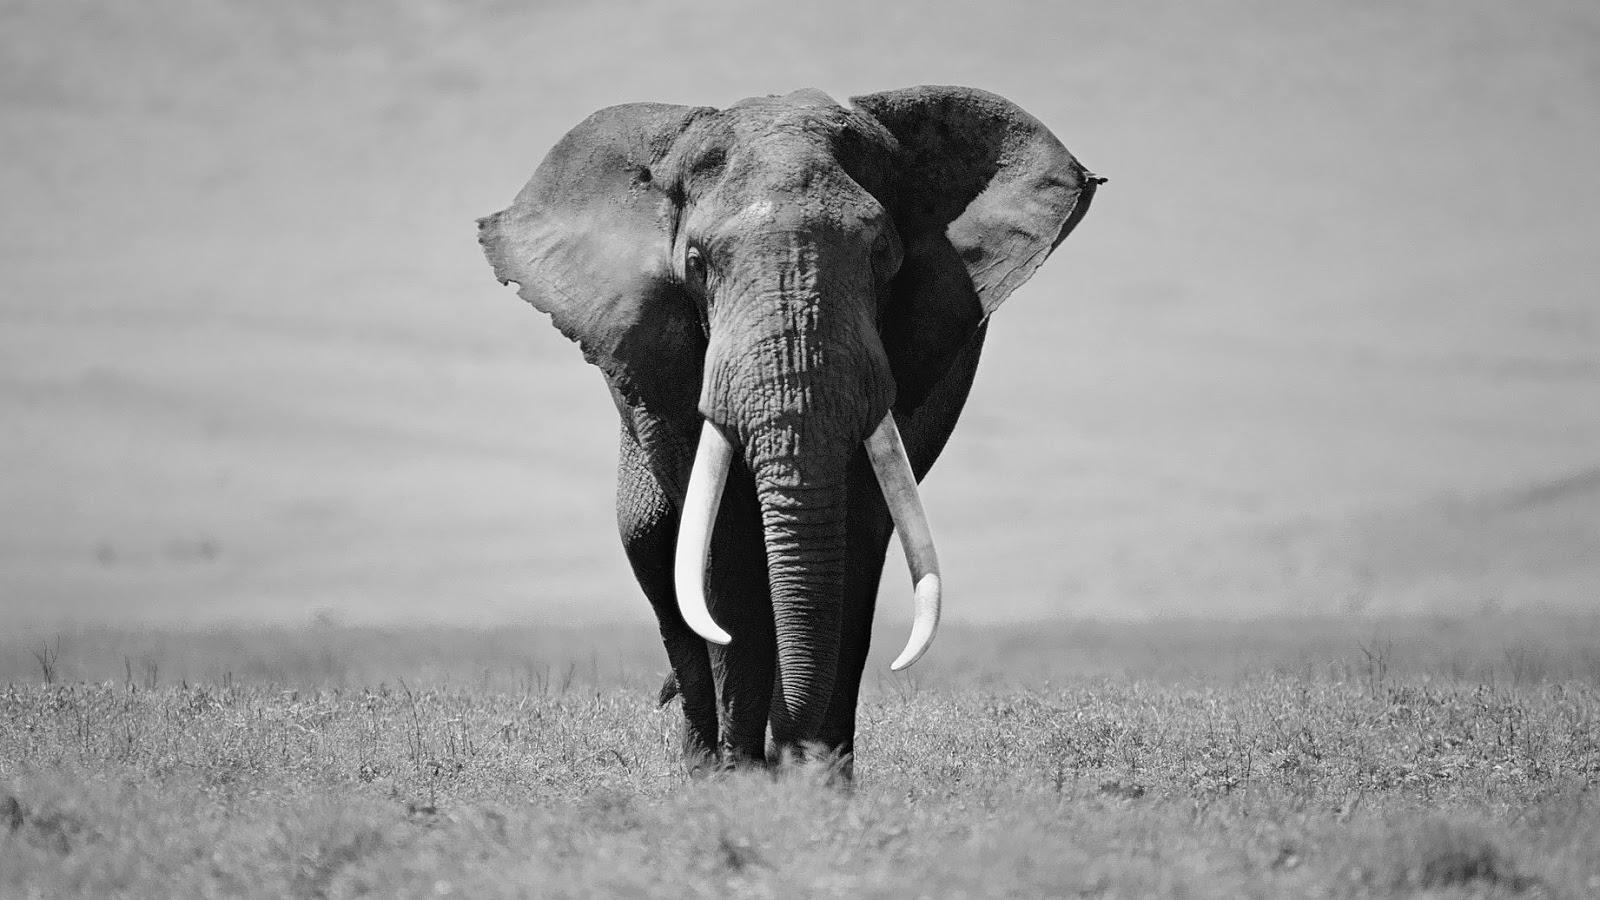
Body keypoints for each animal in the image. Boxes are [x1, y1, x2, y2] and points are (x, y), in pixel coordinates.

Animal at [478, 85, 1100, 775]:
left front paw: (816, 778)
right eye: (696, 263)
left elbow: (857, 530)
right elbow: (724, 543)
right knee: (654, 550)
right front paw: (742, 779)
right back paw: (704, 766)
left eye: (883, 257)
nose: (784, 757)